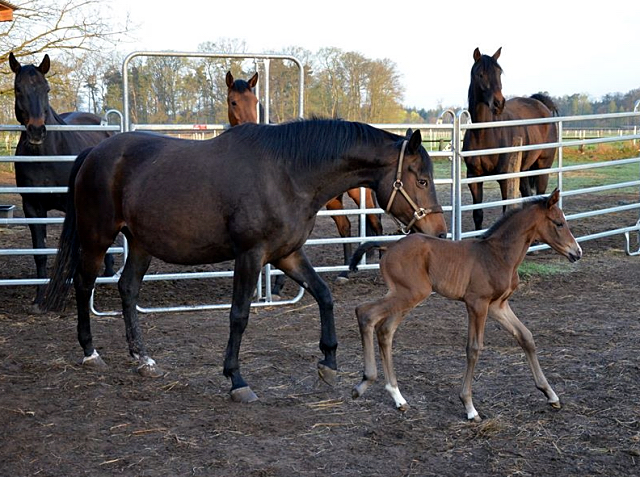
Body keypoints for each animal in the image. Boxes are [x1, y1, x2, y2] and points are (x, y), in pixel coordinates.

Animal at [8, 51, 114, 304]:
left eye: (46, 88)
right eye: (18, 89)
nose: (37, 131)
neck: (47, 156)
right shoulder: (32, 207)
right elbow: (39, 253)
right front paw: (39, 298)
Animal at [42, 118, 448, 402]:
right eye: (422, 180)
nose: (440, 233)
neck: (287, 174)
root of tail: (96, 153)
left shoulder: (286, 254)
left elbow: (324, 295)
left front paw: (329, 363)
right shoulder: (250, 256)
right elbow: (239, 316)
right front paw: (236, 379)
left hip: (141, 244)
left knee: (127, 289)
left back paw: (142, 358)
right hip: (97, 238)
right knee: (84, 285)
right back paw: (90, 353)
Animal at [348, 190, 584, 420]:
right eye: (559, 223)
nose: (577, 252)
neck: (498, 255)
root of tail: (391, 244)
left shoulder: (498, 305)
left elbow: (525, 337)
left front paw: (551, 395)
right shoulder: (477, 304)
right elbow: (474, 348)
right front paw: (470, 407)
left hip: (406, 296)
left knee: (385, 330)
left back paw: (398, 398)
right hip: (409, 294)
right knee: (365, 313)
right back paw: (364, 383)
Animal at [462, 47, 556, 231]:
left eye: (499, 73)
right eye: (480, 74)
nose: (498, 103)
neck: (484, 133)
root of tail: (541, 105)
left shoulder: (505, 179)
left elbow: (506, 210)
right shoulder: (474, 177)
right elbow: (478, 214)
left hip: (543, 167)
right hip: (524, 171)